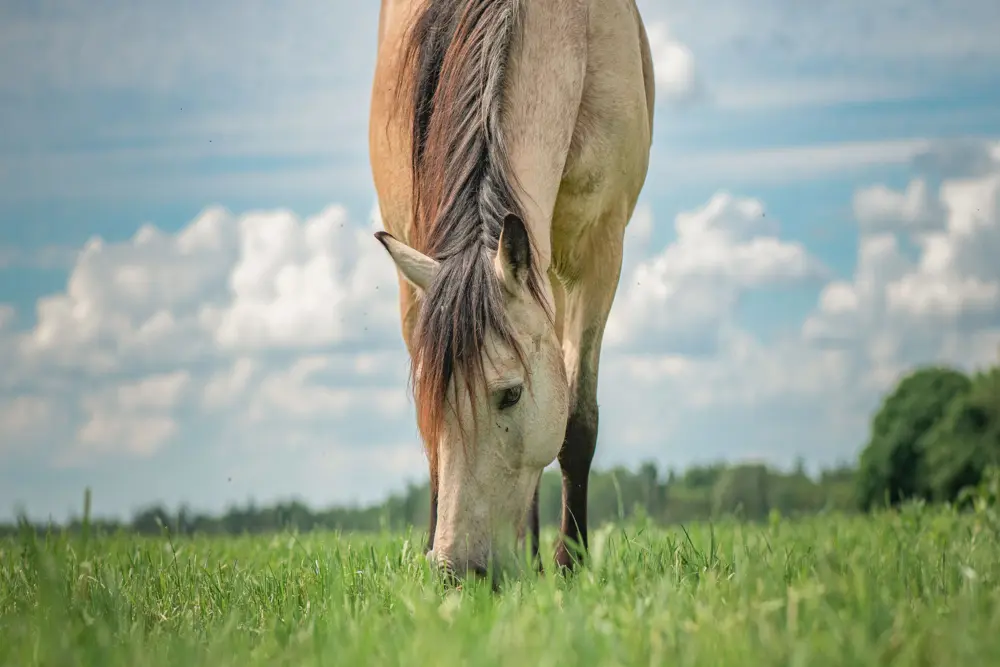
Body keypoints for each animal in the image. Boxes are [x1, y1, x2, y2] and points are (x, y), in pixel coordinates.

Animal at [368, 0, 655, 580]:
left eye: (511, 394)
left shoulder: (600, 253)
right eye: (431, 395)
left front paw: (570, 566)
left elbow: (577, 422)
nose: (456, 571)